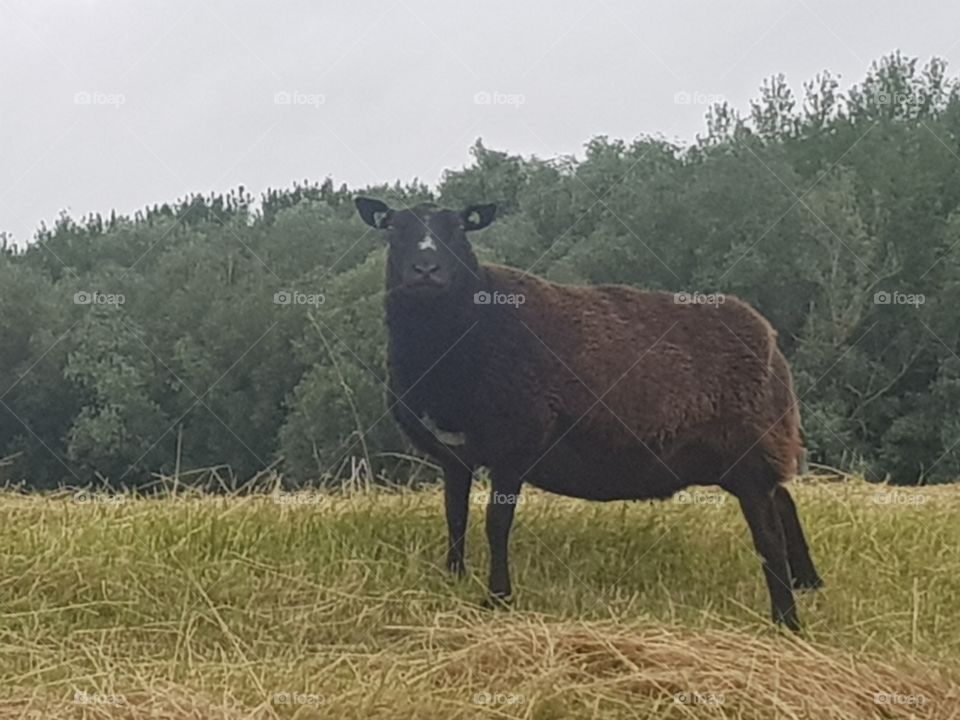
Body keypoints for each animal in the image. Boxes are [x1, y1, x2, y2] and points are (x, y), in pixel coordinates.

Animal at [355, 196, 823, 630]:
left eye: (458, 230)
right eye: (393, 228)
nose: (425, 270)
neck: (471, 328)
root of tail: (768, 336)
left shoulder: (516, 444)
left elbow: (496, 524)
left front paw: (497, 599)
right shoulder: (456, 455)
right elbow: (455, 517)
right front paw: (453, 578)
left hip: (751, 448)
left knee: (769, 532)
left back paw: (787, 619)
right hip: (745, 456)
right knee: (785, 503)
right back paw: (810, 584)